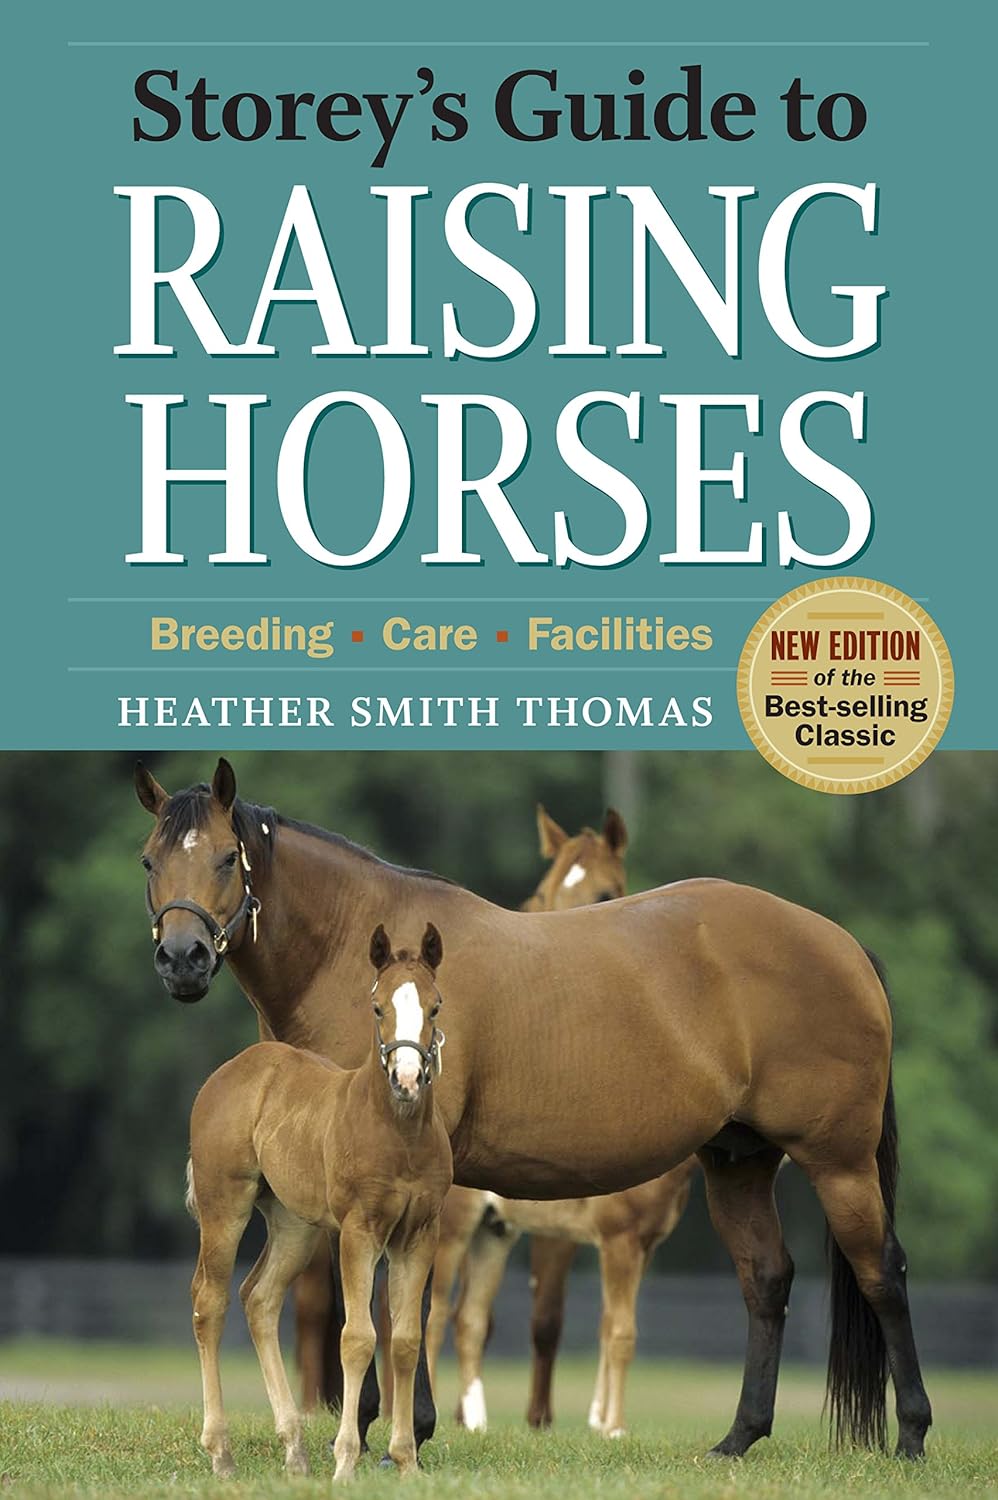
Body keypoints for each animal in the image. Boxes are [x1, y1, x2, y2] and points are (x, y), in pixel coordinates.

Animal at [187, 922, 452, 1481]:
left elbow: (405, 1339)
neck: (399, 1134)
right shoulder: (358, 1231)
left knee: (260, 1298)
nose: (406, 1079)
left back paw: (294, 1447)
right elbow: (358, 1337)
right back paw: (221, 1451)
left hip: (294, 1225)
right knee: (209, 1302)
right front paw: (347, 1460)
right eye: (377, 1006)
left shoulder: (420, 1234)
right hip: (225, 1206)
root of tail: (231, 1072)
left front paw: (406, 1461)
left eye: (435, 1006)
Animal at [424, 804, 697, 1437]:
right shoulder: (615, 1240)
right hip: (455, 1229)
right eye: (544, 892)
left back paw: (476, 1421)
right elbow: (617, 1331)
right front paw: (613, 1428)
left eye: (606, 892)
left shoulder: (638, 1246)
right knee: (433, 1314)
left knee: (469, 1319)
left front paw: (599, 1423)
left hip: (494, 1233)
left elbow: (605, 1327)